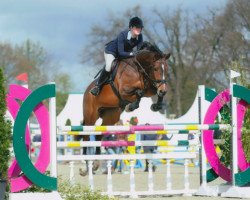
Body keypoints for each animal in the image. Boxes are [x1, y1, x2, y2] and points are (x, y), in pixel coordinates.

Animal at [79, 42, 171, 175]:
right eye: (156, 69)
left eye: (167, 69)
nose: (163, 90)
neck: (139, 69)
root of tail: (86, 91)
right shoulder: (124, 90)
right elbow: (139, 92)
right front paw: (130, 106)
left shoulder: (150, 87)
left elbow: (148, 91)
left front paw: (156, 105)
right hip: (91, 116)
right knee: (86, 137)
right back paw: (86, 166)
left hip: (111, 116)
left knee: (99, 135)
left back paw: (95, 163)